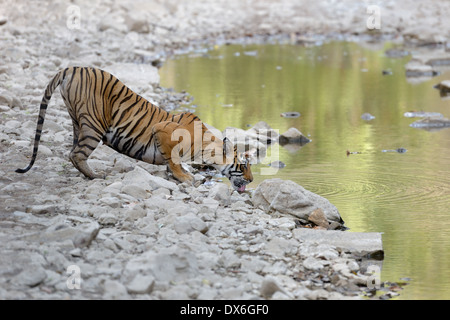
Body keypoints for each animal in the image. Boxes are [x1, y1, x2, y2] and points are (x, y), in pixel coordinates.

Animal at [15, 67, 255, 191]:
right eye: (243, 166)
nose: (253, 180)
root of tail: (73, 67)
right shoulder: (162, 130)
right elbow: (174, 160)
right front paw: (186, 178)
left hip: (77, 121)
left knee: (73, 150)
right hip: (93, 125)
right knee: (76, 154)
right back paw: (95, 176)